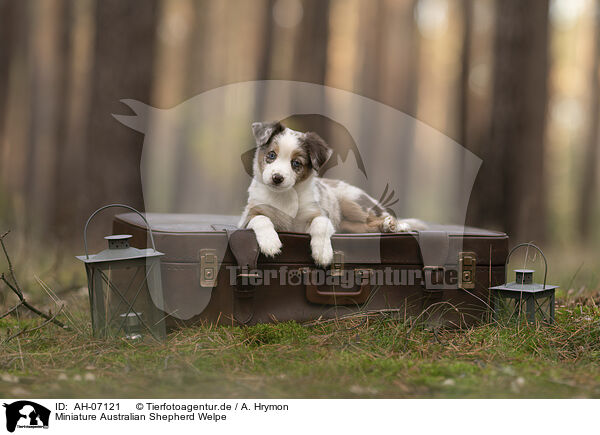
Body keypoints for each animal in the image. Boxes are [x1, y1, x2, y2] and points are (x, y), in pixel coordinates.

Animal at [239, 121, 426, 268]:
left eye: (296, 163)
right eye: (271, 155)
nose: (277, 178)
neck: (284, 195)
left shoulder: (319, 214)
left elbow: (320, 224)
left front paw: (322, 253)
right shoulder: (247, 217)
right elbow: (261, 218)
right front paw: (270, 243)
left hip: (352, 202)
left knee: (379, 216)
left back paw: (396, 225)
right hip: (348, 225)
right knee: (365, 226)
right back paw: (387, 227)